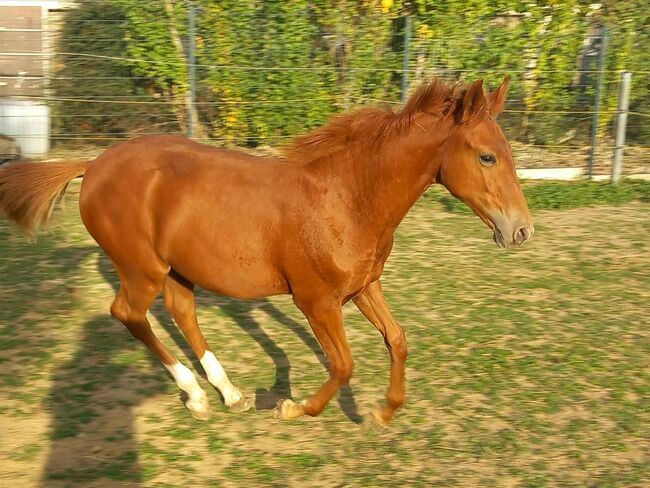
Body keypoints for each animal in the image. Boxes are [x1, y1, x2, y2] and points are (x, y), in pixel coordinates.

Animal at [0, 77, 533, 426]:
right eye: (487, 156)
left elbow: (397, 339)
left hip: (178, 269)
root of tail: (92, 165)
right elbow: (343, 364)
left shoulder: (364, 287)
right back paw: (195, 395)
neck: (348, 198)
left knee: (181, 312)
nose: (522, 230)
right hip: (141, 268)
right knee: (128, 314)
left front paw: (385, 411)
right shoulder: (316, 301)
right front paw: (292, 407)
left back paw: (229, 394)